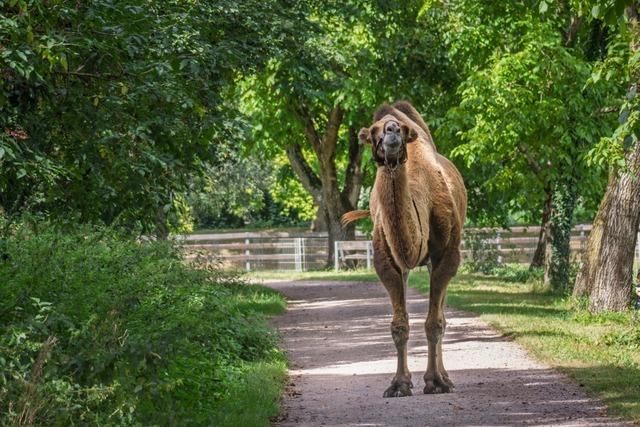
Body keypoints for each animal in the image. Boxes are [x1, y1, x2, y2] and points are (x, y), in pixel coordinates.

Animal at [342, 100, 468, 398]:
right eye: (373, 130)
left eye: (401, 127)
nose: (392, 131)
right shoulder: (386, 260)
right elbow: (399, 325)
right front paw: (399, 384)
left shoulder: (447, 255)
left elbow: (435, 323)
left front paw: (435, 382)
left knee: (441, 316)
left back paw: (445, 377)